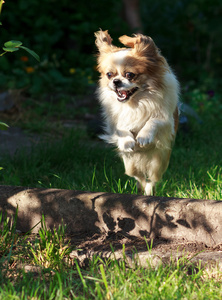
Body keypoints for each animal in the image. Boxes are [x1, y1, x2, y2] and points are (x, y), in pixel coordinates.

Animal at [94, 29, 180, 196]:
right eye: (109, 75)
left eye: (130, 75)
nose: (116, 82)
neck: (136, 103)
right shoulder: (116, 122)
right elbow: (122, 127)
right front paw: (127, 141)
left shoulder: (166, 121)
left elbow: (153, 120)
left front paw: (144, 136)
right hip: (130, 163)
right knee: (139, 177)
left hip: (158, 163)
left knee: (151, 180)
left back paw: (149, 192)